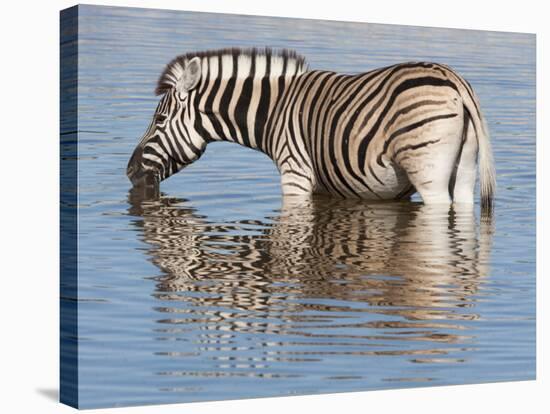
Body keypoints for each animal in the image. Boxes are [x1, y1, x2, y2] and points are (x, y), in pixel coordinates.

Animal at [127, 47, 498, 212]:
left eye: (159, 121)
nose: (129, 172)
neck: (274, 110)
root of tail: (454, 79)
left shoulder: (295, 173)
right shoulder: (322, 183)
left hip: (428, 170)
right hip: (465, 169)